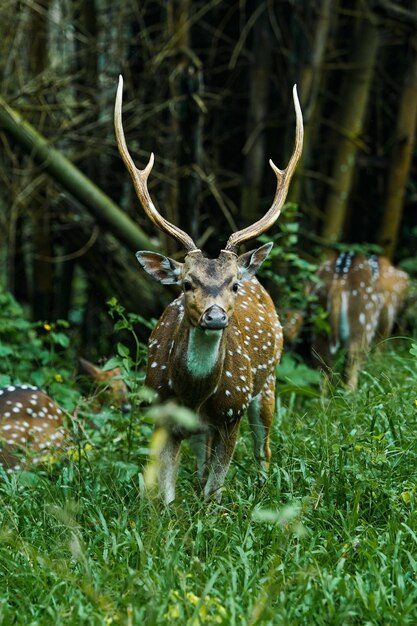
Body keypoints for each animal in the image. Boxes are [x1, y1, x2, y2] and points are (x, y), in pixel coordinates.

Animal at [114, 74, 302, 502]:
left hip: (267, 383)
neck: (196, 395)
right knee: (201, 461)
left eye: (233, 285)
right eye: (186, 283)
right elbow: (166, 497)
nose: (215, 316)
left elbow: (214, 494)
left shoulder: (232, 413)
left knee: (264, 448)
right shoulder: (163, 415)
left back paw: (263, 489)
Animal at [310, 250, 408, 388]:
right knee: (352, 363)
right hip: (363, 321)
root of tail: (339, 283)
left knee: (321, 364)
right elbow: (380, 346)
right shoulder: (387, 315)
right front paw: (377, 366)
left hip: (318, 320)